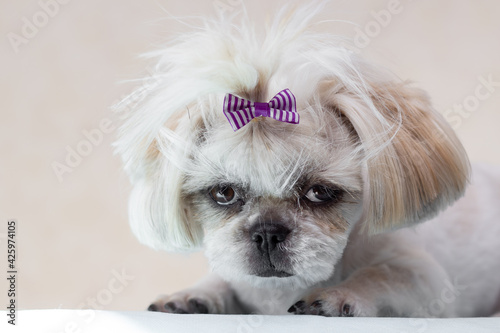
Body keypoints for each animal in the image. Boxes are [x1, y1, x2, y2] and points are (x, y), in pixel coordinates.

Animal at [115, 4, 500, 316]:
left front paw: (339, 295)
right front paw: (193, 295)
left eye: (320, 192)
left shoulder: (426, 283)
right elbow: (220, 279)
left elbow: (381, 275)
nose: (267, 232)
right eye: (223, 193)